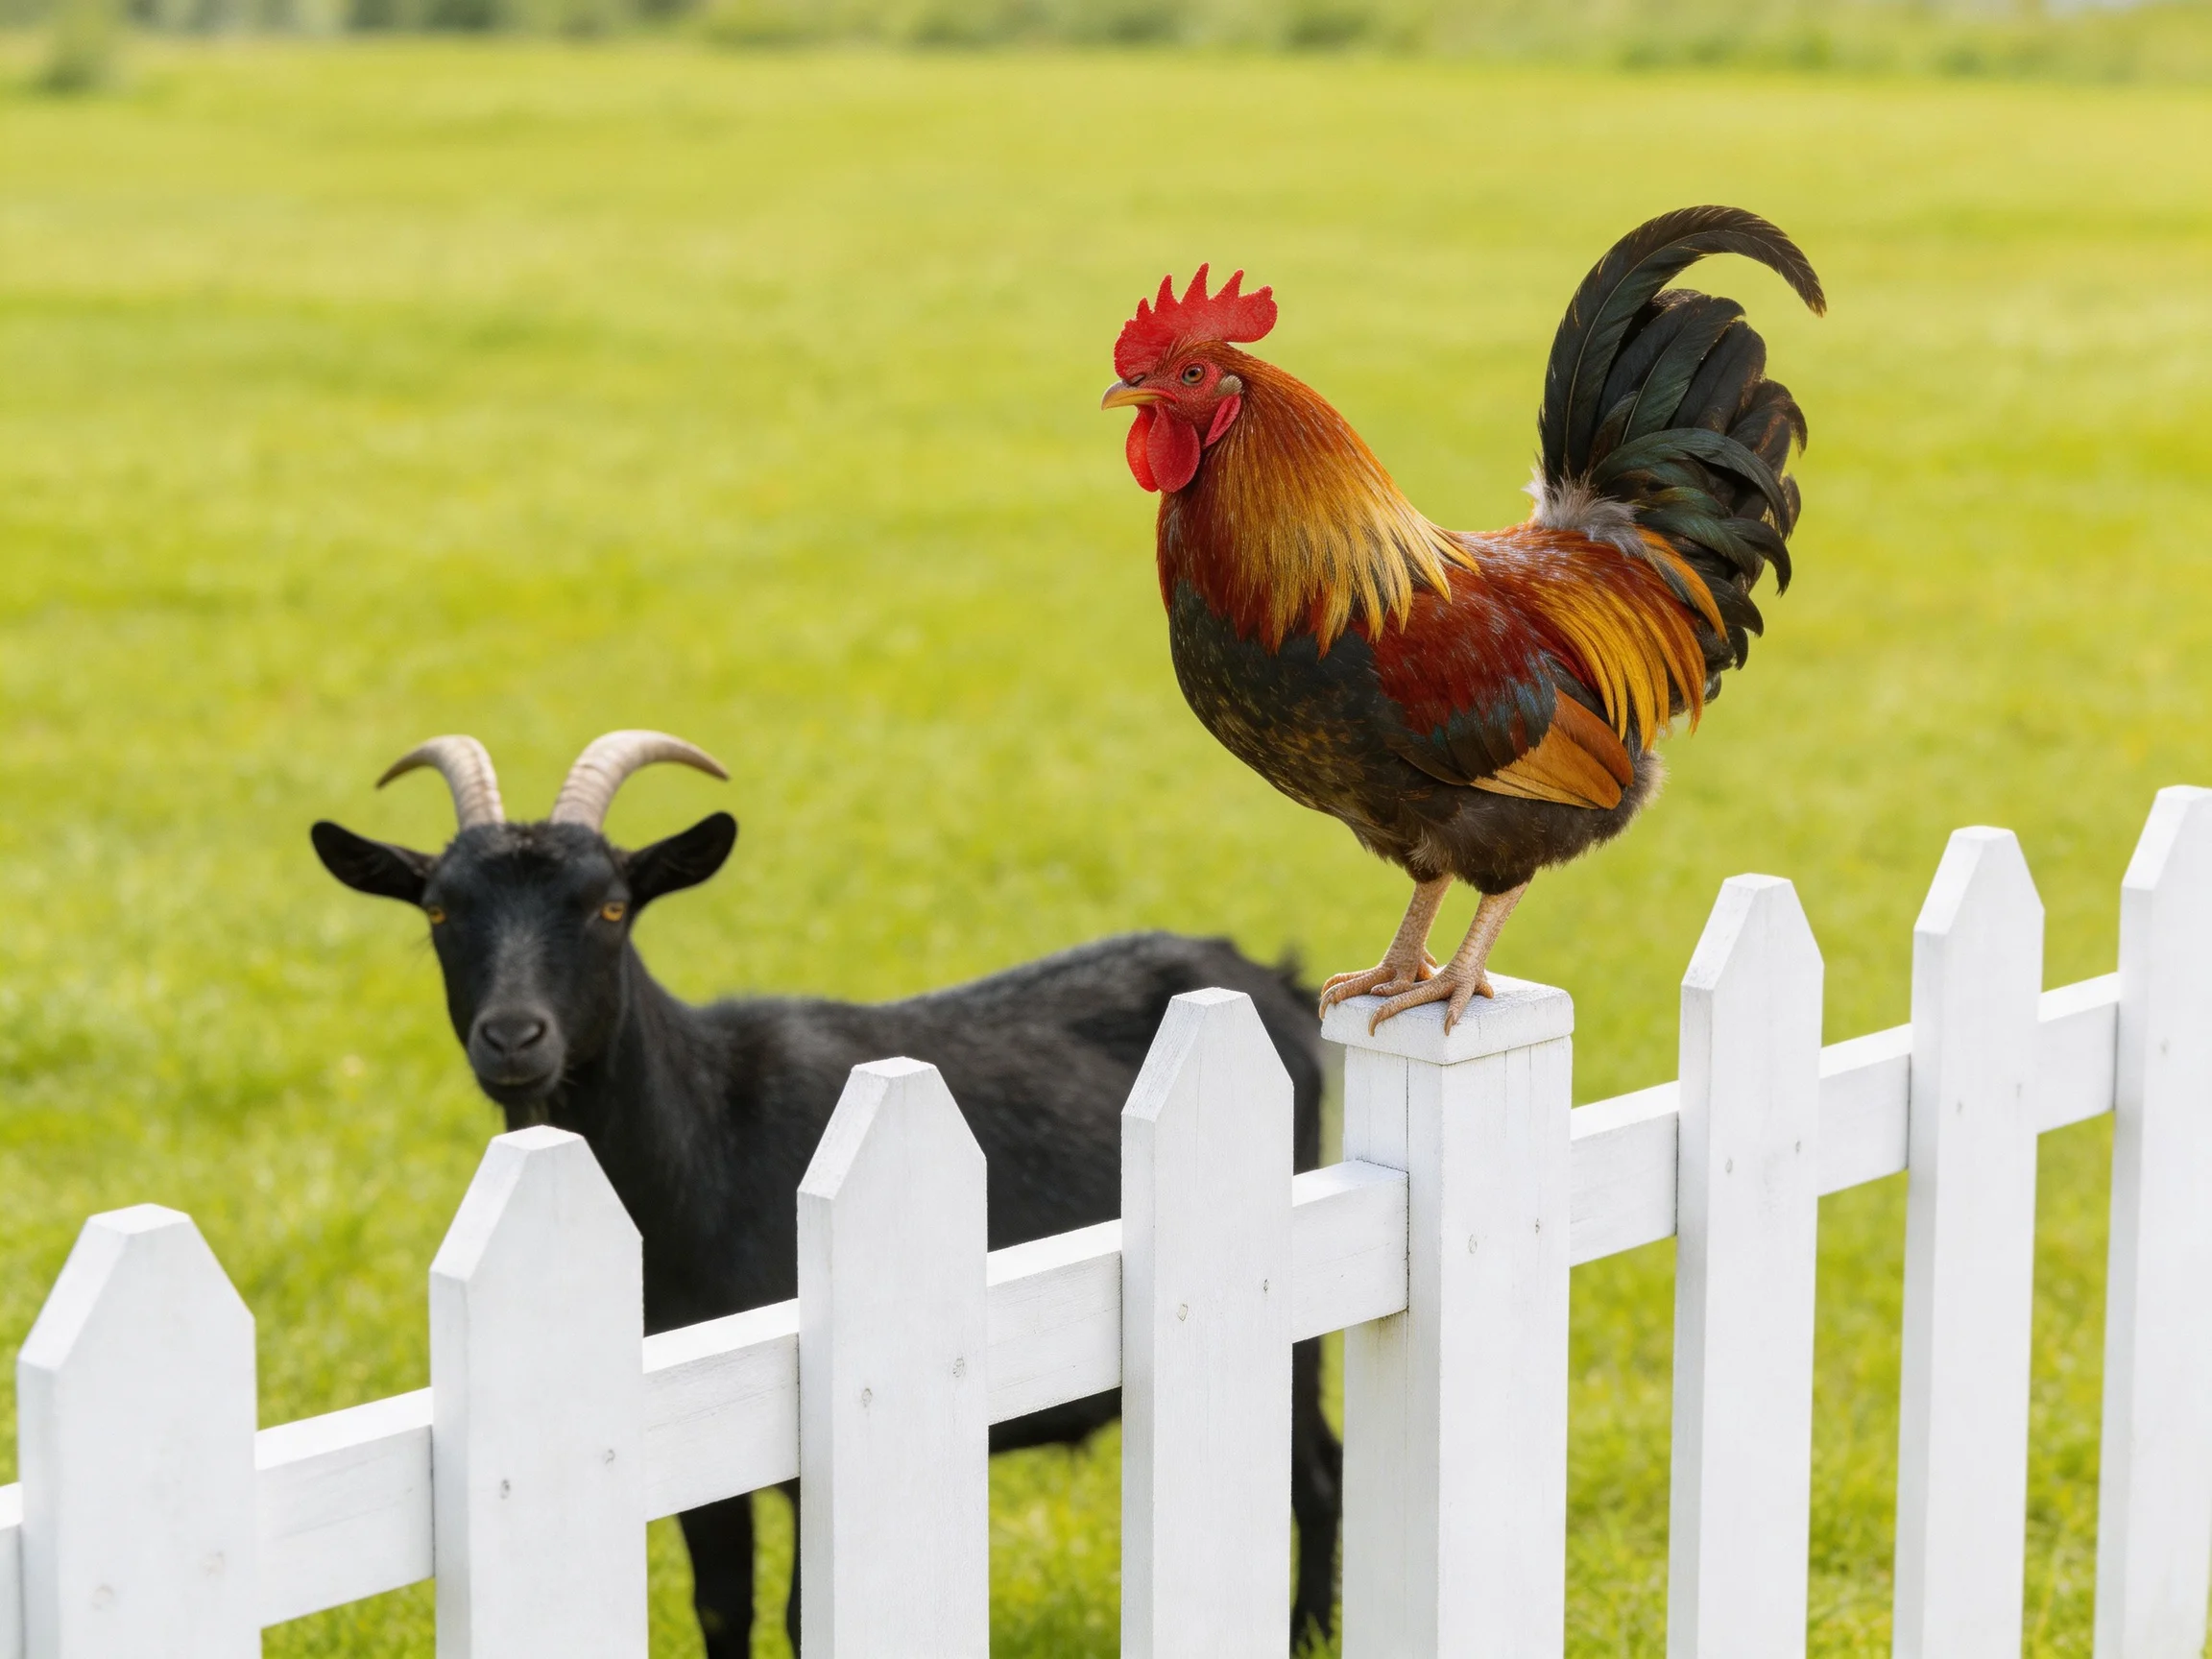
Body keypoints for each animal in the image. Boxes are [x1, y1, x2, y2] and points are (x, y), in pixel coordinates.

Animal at [312, 730, 1343, 1656]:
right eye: (438, 911)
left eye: (610, 907)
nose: (514, 1036)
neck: (706, 1140)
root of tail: (1276, 982)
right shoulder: (683, 1438)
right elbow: (722, 1608)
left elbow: (807, 1619)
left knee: (1319, 1471)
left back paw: (1308, 1634)